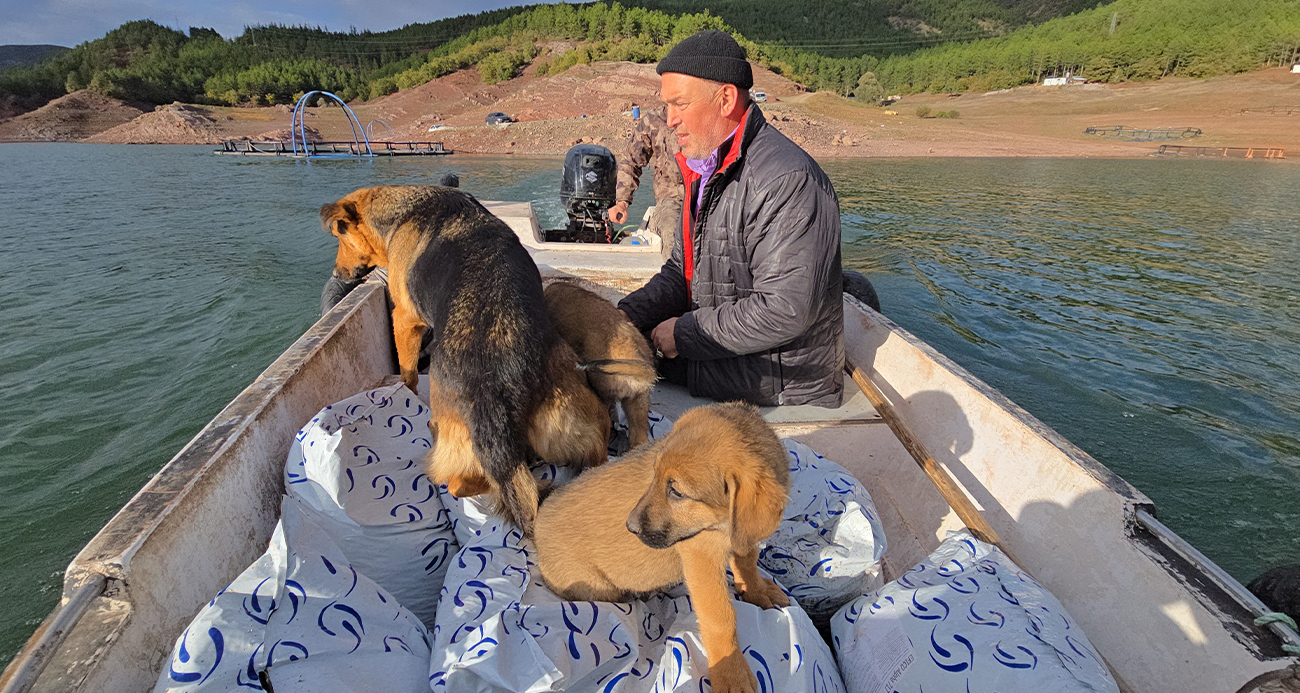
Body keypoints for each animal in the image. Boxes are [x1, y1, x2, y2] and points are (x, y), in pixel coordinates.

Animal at [322, 184, 611, 535]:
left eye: (339, 236)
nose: (336, 273)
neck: (408, 207)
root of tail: (495, 392)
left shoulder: (405, 318)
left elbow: (407, 372)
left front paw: (406, 387)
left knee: (457, 483)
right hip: (582, 422)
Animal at [533, 400, 785, 691]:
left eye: (676, 492)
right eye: (654, 476)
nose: (629, 526)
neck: (718, 523)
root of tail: (536, 529)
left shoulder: (741, 534)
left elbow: (748, 561)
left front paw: (757, 591)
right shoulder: (701, 557)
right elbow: (720, 617)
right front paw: (730, 672)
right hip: (599, 587)